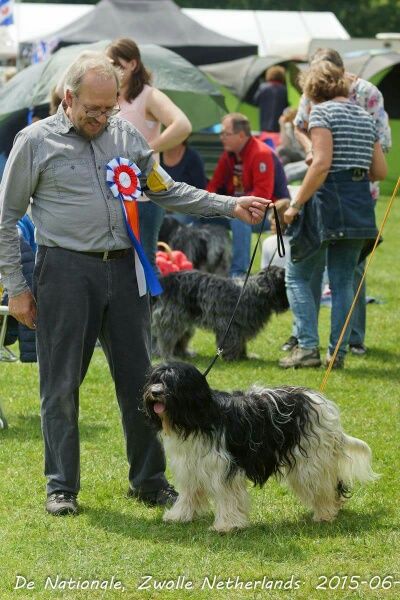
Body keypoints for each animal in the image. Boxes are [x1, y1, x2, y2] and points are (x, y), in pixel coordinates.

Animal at [144, 360, 378, 528]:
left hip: (311, 460)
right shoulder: (190, 466)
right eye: (155, 379)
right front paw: (179, 516)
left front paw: (227, 525)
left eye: (172, 383)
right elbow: (189, 495)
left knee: (324, 486)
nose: (155, 392)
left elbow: (228, 496)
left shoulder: (224, 468)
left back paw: (325, 513)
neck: (197, 420)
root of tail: (322, 403)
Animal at [152, 268, 288, 360]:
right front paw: (232, 358)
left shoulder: (240, 328)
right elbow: (232, 341)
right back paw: (167, 356)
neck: (257, 291)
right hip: (173, 319)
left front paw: (244, 356)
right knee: (165, 339)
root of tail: (165, 282)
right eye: (285, 283)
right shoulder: (230, 326)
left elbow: (241, 341)